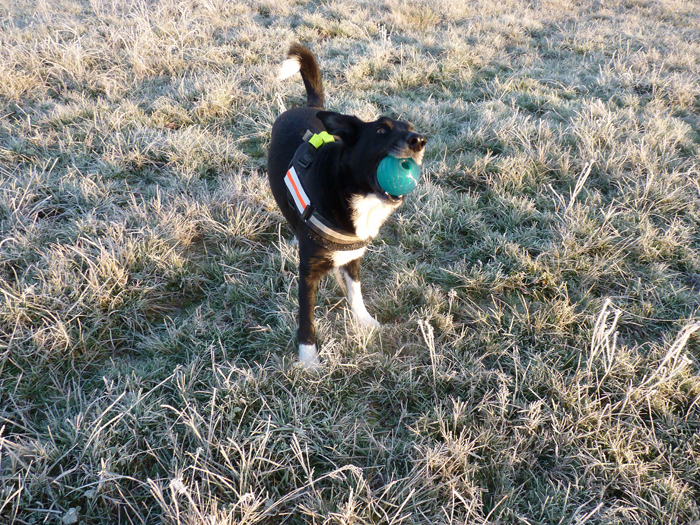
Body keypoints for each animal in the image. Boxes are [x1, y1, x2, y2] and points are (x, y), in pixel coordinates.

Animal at [268, 43, 426, 366]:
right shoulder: (308, 270)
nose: (419, 141)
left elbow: (355, 291)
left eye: (411, 127)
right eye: (381, 130)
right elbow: (306, 316)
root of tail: (308, 107)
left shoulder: (353, 254)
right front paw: (308, 360)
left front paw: (364, 322)